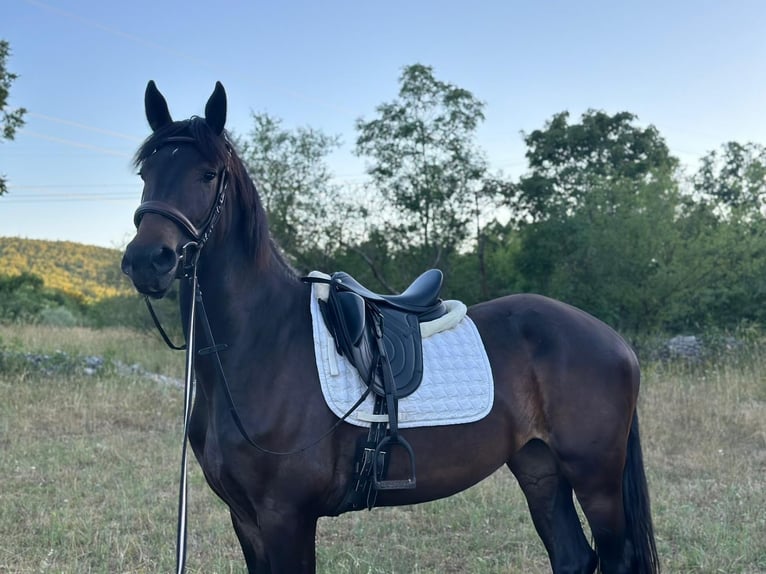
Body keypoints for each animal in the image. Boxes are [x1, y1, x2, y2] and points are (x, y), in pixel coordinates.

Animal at [121, 81, 660, 574]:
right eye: (147, 172)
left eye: (208, 173)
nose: (148, 260)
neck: (260, 348)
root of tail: (613, 340)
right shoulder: (246, 519)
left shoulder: (285, 517)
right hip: (539, 467)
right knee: (573, 556)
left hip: (596, 478)